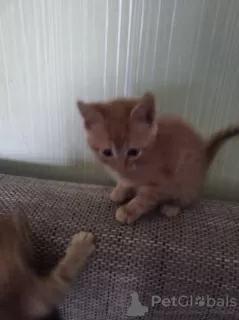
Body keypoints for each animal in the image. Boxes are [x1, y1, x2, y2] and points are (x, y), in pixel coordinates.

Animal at [78, 92, 239, 222]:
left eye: (133, 152)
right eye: (107, 152)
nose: (120, 167)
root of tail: (205, 157)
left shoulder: (161, 182)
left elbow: (144, 199)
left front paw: (129, 210)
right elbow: (125, 183)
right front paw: (119, 191)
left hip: (187, 183)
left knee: (187, 199)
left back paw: (172, 206)